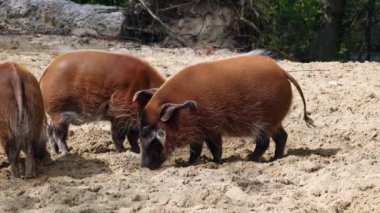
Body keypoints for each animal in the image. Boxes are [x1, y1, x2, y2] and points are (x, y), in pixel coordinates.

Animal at [134, 53, 314, 170]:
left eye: (155, 135)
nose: (143, 167)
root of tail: (282, 71)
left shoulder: (211, 127)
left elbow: (215, 147)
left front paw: (216, 163)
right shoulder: (197, 131)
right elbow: (196, 149)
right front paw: (189, 164)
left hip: (265, 121)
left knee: (264, 142)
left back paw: (251, 159)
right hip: (275, 121)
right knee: (282, 136)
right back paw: (276, 158)